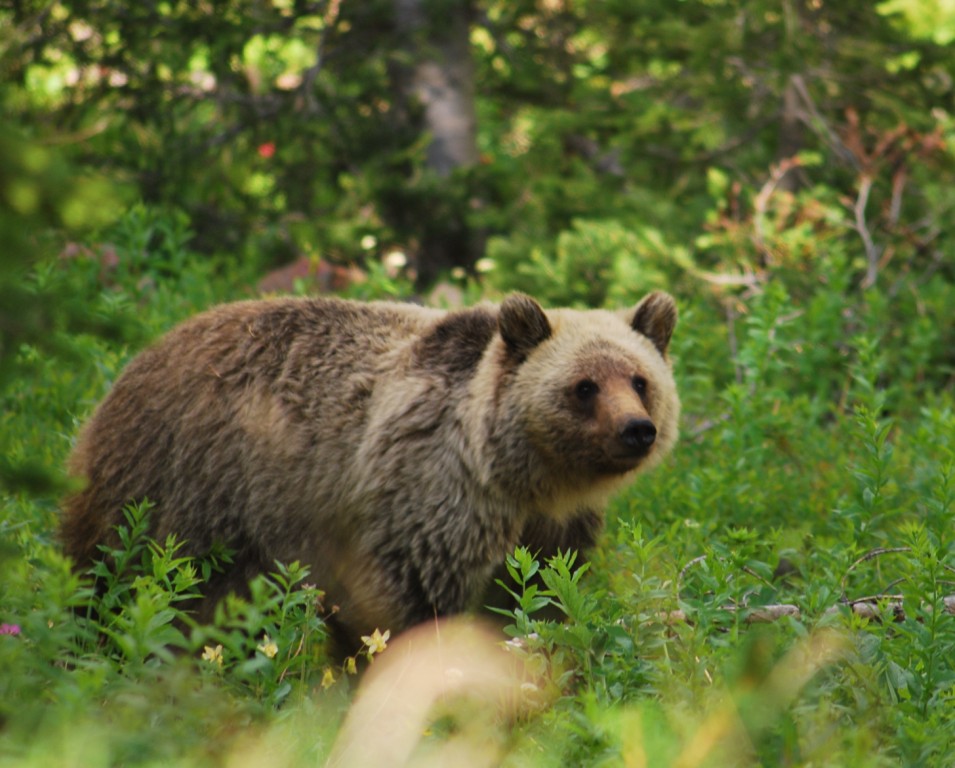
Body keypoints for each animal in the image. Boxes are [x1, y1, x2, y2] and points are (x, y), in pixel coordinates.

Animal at [62, 291, 680, 654]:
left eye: (639, 379)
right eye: (584, 386)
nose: (637, 429)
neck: (521, 473)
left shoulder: (553, 524)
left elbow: (541, 592)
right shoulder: (429, 492)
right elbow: (412, 598)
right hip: (180, 486)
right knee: (120, 578)